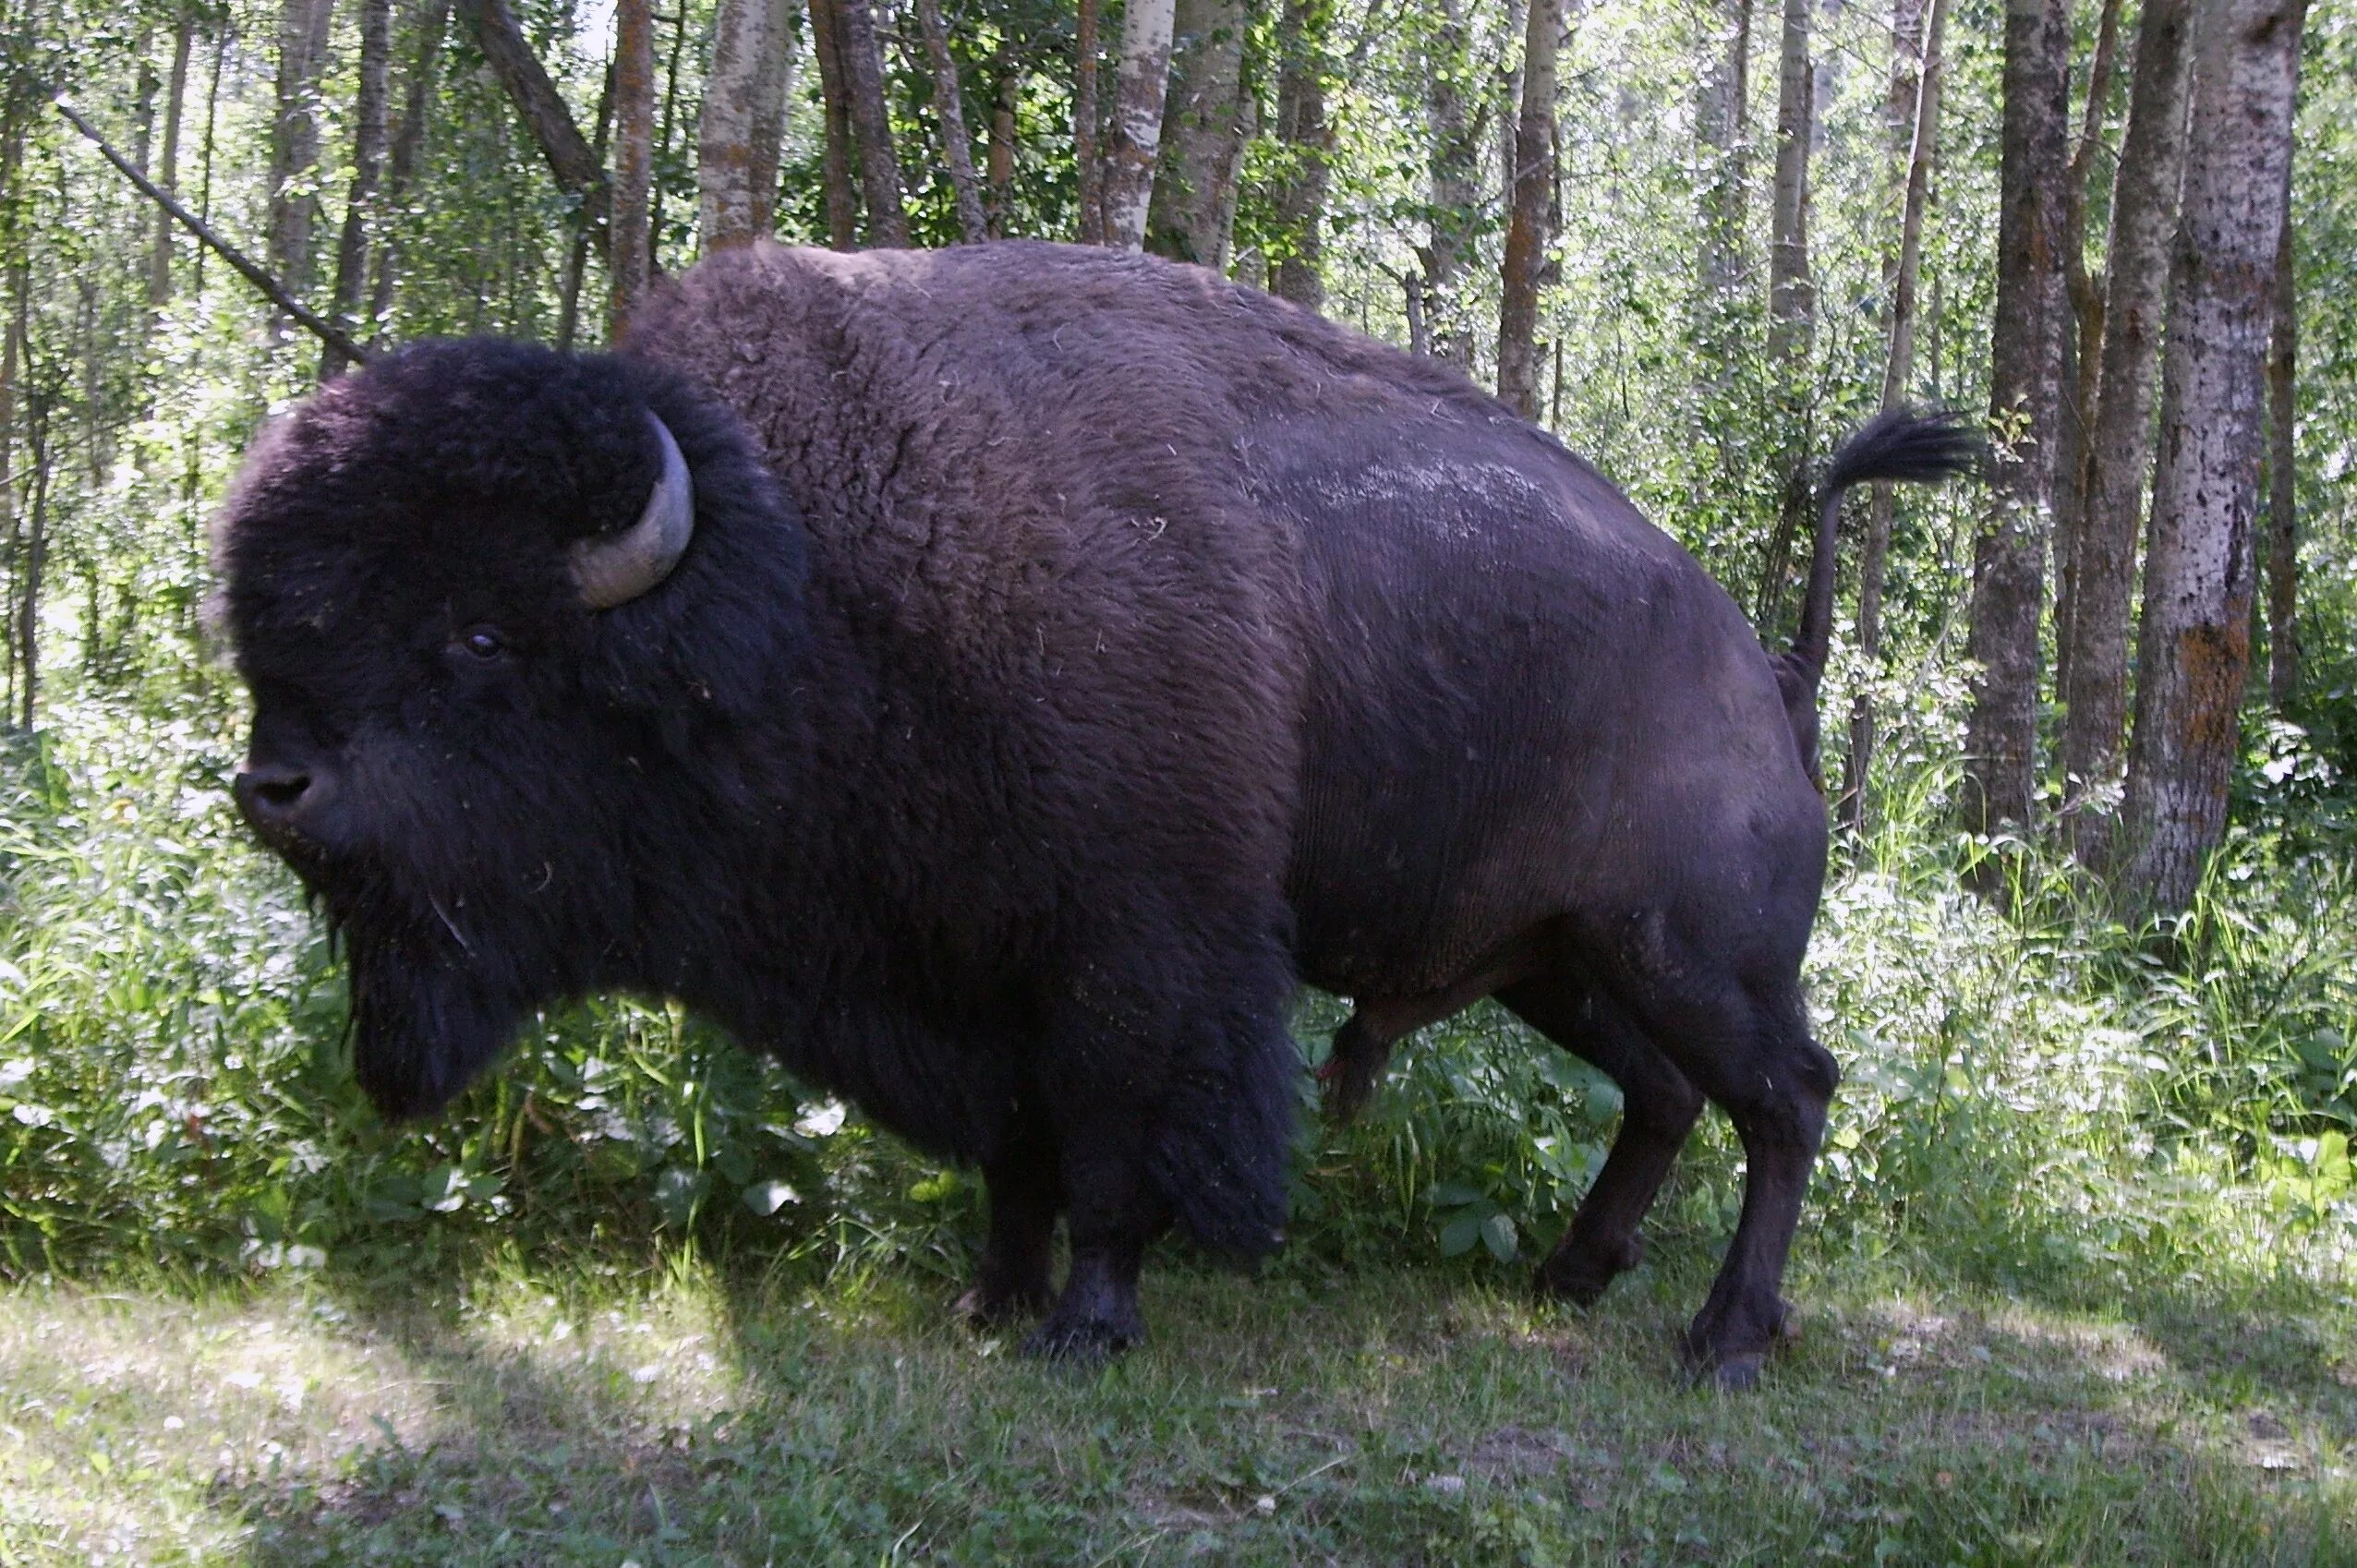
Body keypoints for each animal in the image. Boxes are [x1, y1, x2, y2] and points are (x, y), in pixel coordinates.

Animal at [221, 241, 1970, 1386]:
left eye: (480, 634)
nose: (276, 785)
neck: (817, 575)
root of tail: (1763, 659)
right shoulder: (975, 966)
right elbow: (1017, 1152)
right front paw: (989, 1303)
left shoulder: (1135, 956)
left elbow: (1118, 1144)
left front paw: (1086, 1325)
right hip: (1561, 962)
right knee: (1668, 1097)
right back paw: (1569, 1275)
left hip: (1689, 954)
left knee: (1786, 1097)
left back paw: (1721, 1341)